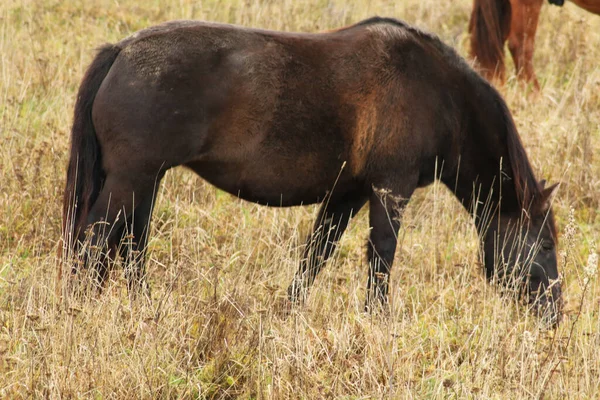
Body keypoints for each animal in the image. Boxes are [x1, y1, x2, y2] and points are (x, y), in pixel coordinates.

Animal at [62, 17, 564, 324]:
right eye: (545, 244)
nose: (555, 315)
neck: (438, 93)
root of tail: (122, 51)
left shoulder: (347, 193)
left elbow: (315, 256)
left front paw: (289, 315)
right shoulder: (390, 189)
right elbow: (381, 258)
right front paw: (378, 322)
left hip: (145, 182)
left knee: (128, 249)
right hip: (131, 181)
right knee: (93, 246)